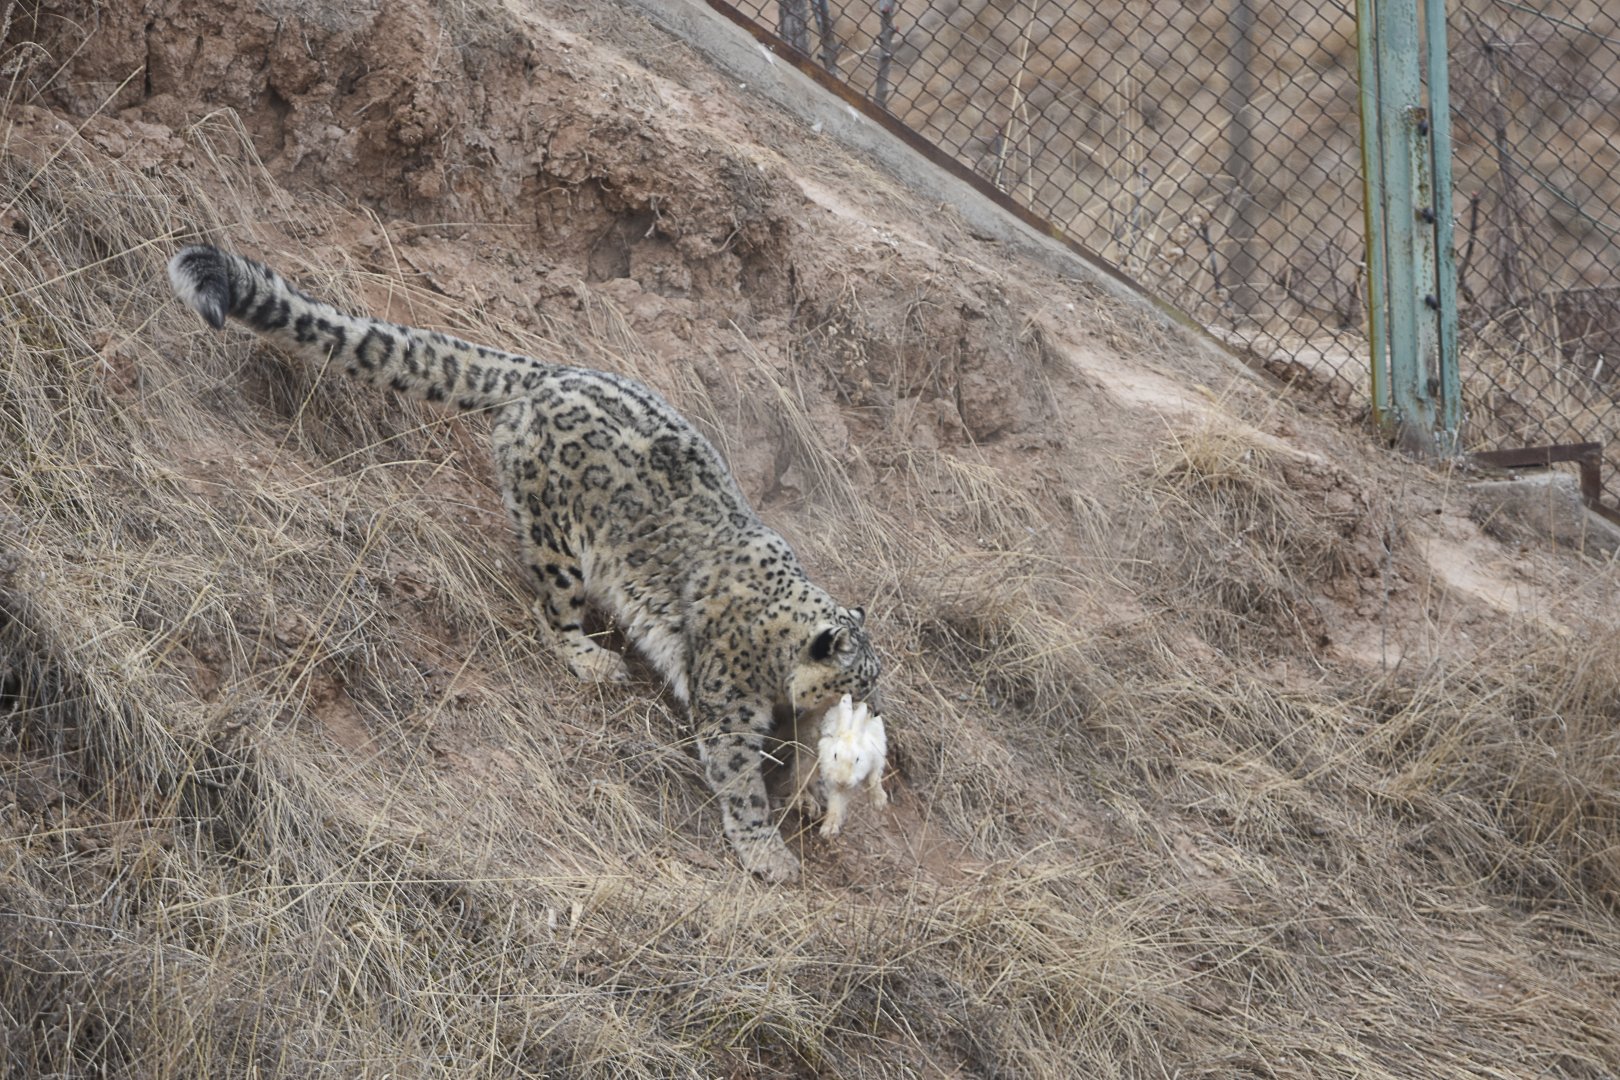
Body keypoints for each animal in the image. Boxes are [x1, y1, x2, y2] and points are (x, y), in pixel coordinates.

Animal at [167, 245, 881, 883]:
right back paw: (592, 658)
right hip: (559, 538)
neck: (779, 669)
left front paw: (810, 793)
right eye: (860, 681)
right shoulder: (729, 708)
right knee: (553, 607)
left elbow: (795, 754)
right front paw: (768, 851)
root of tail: (549, 373)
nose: (874, 712)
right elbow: (740, 779)